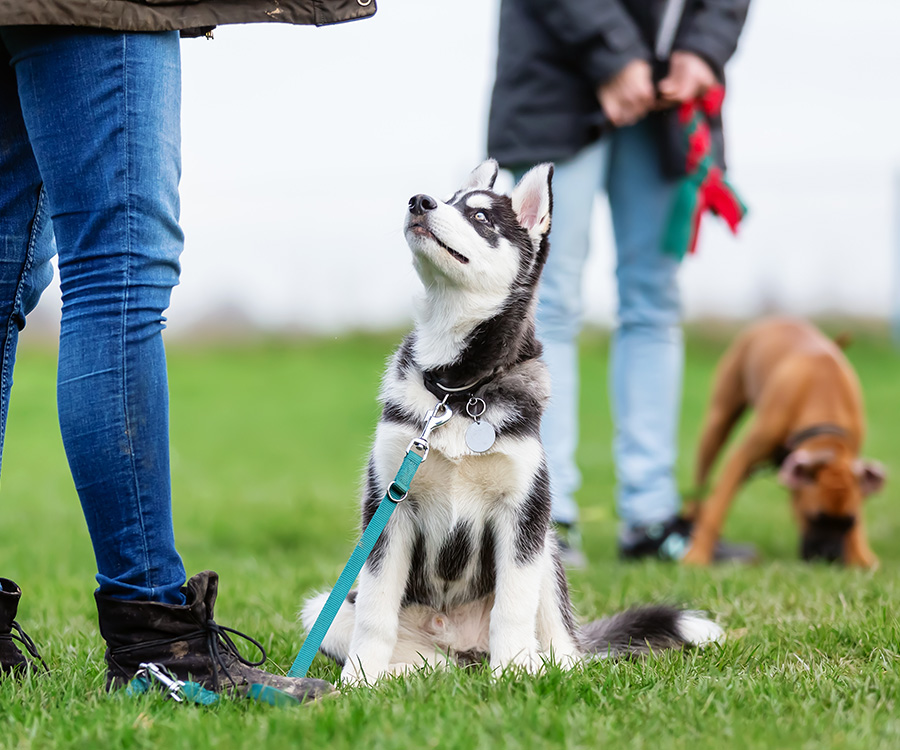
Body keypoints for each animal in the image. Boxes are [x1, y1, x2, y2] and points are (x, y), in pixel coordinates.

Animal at [302, 164, 724, 688]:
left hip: (547, 553)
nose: (419, 201)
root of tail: (463, 648)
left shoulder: (523, 512)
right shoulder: (388, 507)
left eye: (481, 216)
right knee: (426, 659)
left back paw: (542, 667)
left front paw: (514, 676)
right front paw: (359, 681)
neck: (455, 391)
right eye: (447, 199)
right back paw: (407, 676)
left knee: (560, 643)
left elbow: (513, 607)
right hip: (323, 608)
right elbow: (376, 611)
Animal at [684, 318, 884, 568]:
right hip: (717, 424)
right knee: (702, 486)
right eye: (814, 518)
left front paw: (860, 555)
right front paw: (698, 555)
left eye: (848, 522)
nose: (829, 558)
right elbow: (717, 508)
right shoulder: (741, 459)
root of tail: (778, 318)